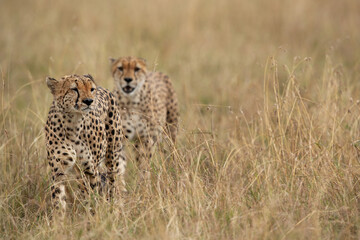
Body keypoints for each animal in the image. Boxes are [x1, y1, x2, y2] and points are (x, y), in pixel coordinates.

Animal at [45, 74, 125, 218]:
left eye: (91, 89)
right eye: (74, 89)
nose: (89, 101)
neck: (72, 122)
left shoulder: (89, 170)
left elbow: (91, 196)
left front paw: (91, 217)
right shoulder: (58, 170)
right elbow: (58, 199)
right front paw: (58, 221)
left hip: (112, 158)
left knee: (113, 184)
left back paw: (113, 208)